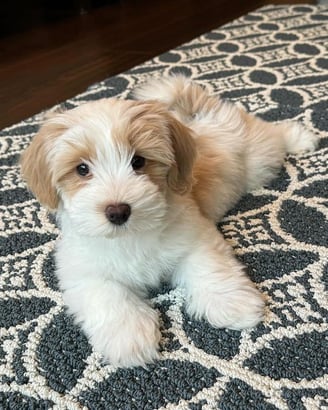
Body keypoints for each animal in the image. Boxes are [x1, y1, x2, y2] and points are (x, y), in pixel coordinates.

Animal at [19, 75, 318, 366]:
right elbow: (106, 294)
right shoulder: (80, 269)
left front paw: (232, 303)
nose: (117, 211)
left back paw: (300, 137)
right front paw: (129, 336)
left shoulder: (194, 235)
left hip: (258, 159)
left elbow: (209, 267)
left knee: (273, 135)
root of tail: (205, 113)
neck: (132, 235)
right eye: (82, 169)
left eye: (138, 161)